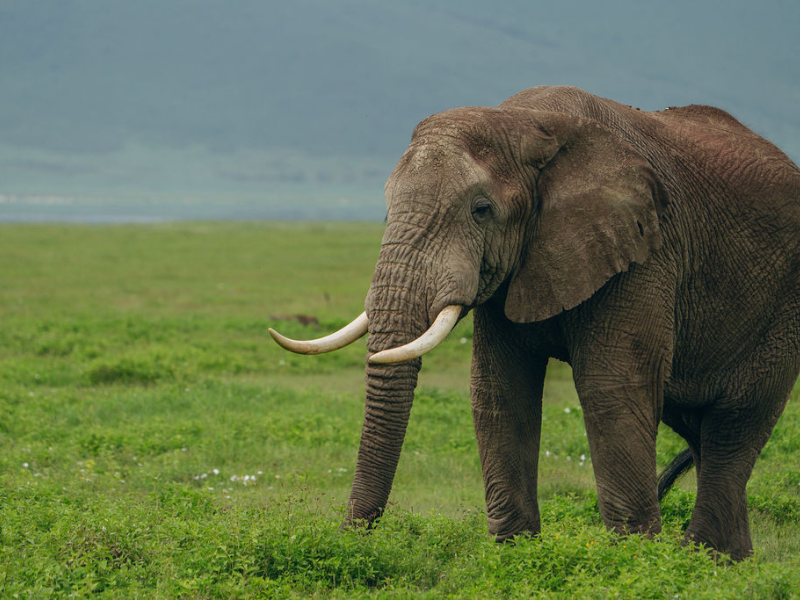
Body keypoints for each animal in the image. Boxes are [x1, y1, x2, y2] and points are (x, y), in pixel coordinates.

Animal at [270, 86, 800, 561]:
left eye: (481, 210)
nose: (349, 537)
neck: (529, 123)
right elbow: (499, 391)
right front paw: (515, 556)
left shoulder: (645, 250)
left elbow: (613, 388)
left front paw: (631, 562)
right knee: (701, 430)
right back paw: (728, 561)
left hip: (784, 309)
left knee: (735, 424)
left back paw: (702, 560)